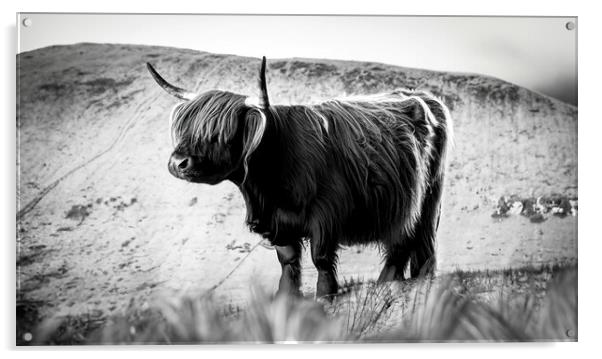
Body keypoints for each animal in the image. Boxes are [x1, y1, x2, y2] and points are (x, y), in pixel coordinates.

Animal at [148, 57, 452, 298]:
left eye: (221, 133)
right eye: (187, 129)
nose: (178, 163)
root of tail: (423, 97)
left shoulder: (326, 213)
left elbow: (321, 257)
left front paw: (326, 293)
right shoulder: (277, 222)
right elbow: (288, 260)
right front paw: (285, 296)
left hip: (420, 199)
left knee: (405, 240)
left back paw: (386, 282)